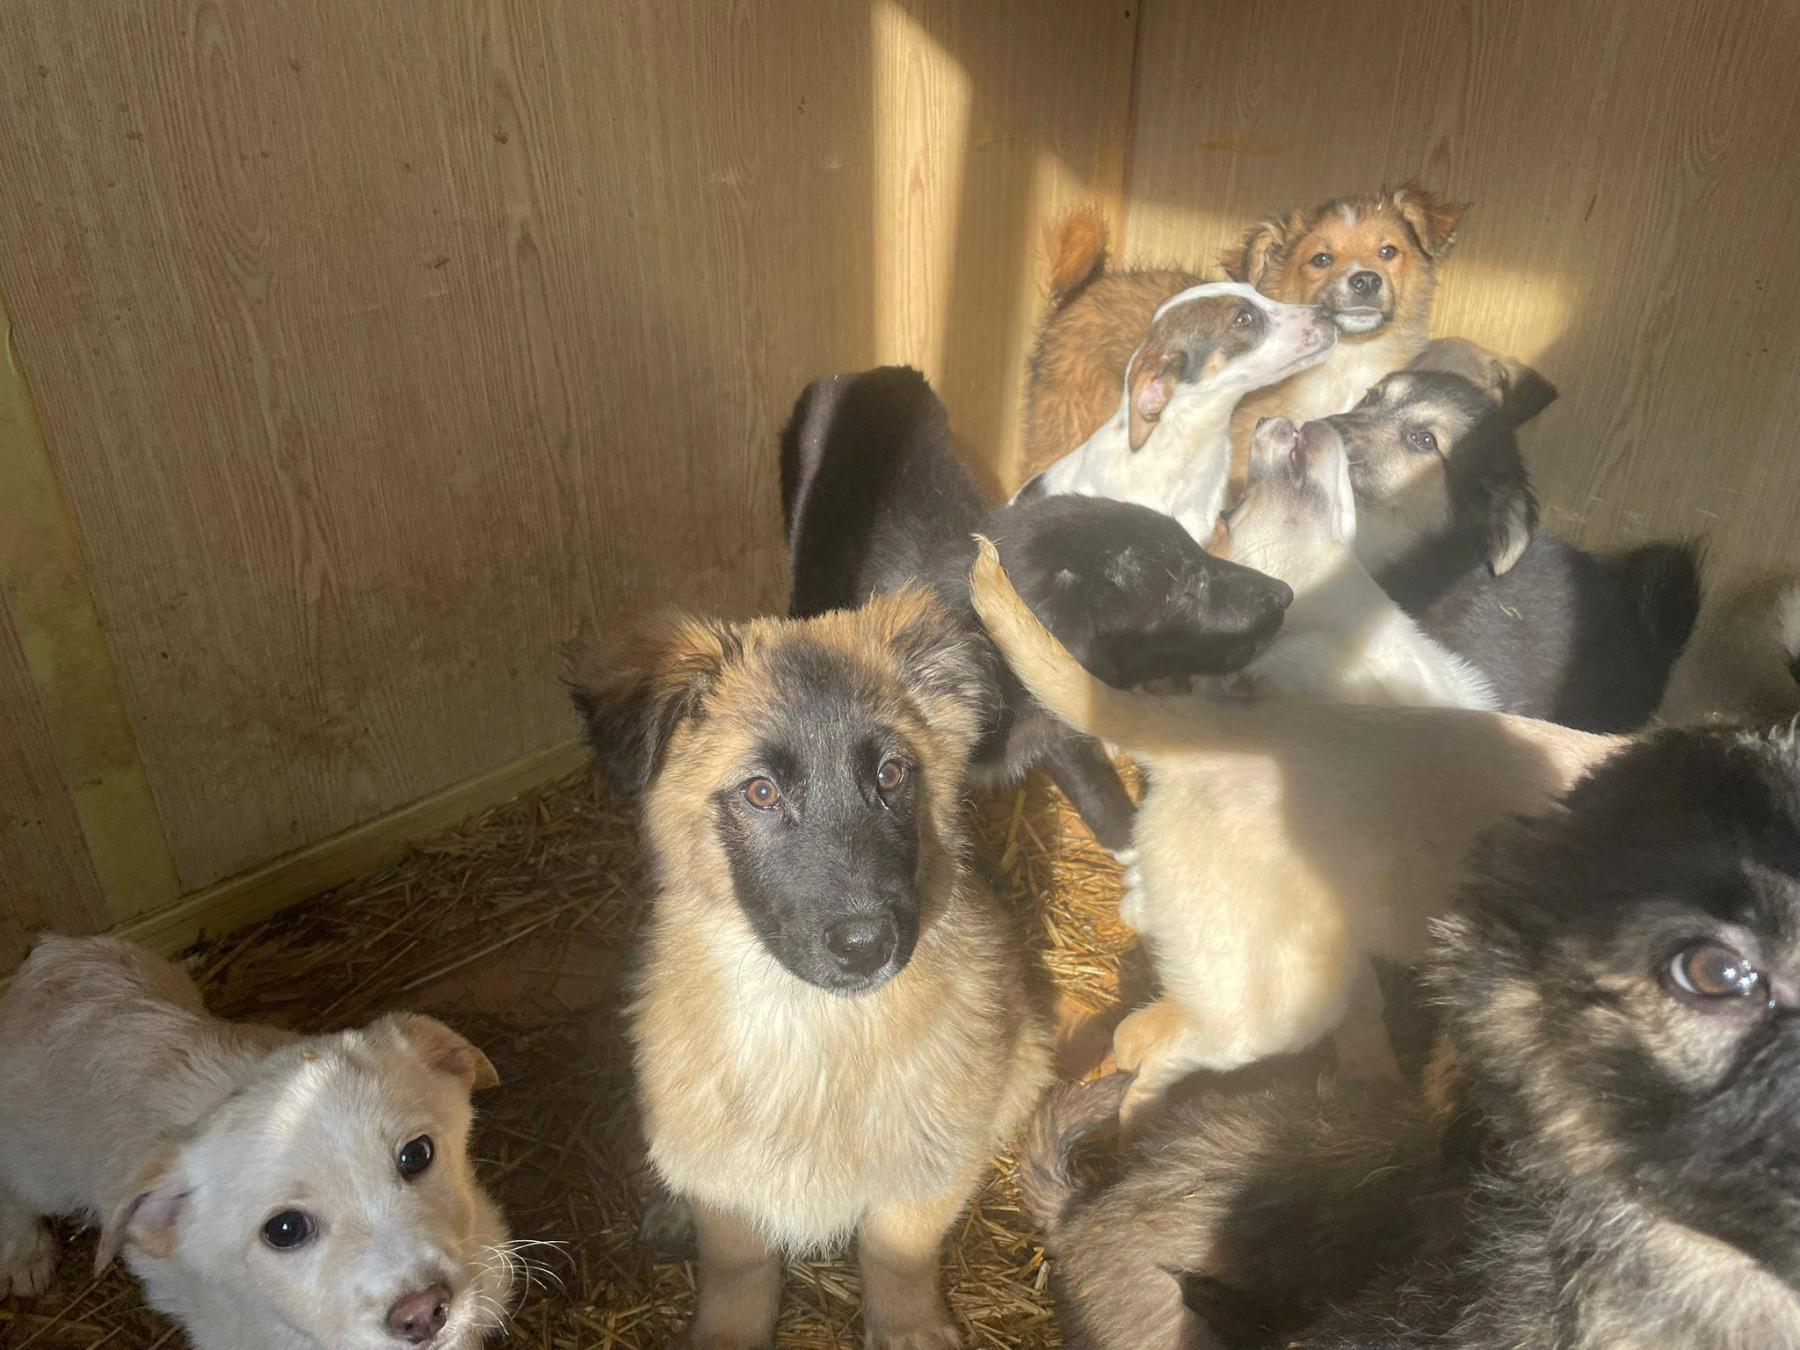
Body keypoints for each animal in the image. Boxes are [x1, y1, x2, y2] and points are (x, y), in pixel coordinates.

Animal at [0, 936, 513, 1350]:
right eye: (284, 1230)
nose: (422, 1314)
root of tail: (51, 950)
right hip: (40, 1163)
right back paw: (26, 1254)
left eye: (417, 1154)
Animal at [569, 588, 1053, 1348]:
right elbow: (738, 1270)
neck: (817, 1030)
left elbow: (898, 1252)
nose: (866, 945)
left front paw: (909, 1329)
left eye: (891, 774)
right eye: (761, 793)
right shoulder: (729, 1185)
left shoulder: (929, 1163)